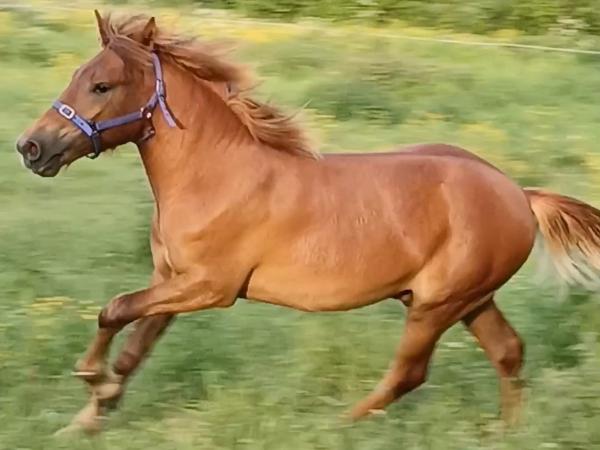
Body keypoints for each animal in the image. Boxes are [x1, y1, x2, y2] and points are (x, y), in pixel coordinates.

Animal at [16, 11, 600, 434]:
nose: (31, 147)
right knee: (508, 352)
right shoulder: (172, 281)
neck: (216, 175)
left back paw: (337, 424)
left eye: (102, 85)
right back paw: (509, 433)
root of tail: (520, 194)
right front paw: (86, 419)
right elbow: (134, 348)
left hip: (437, 304)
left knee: (408, 374)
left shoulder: (210, 287)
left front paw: (90, 381)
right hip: (471, 300)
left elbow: (113, 310)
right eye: (77, 76)